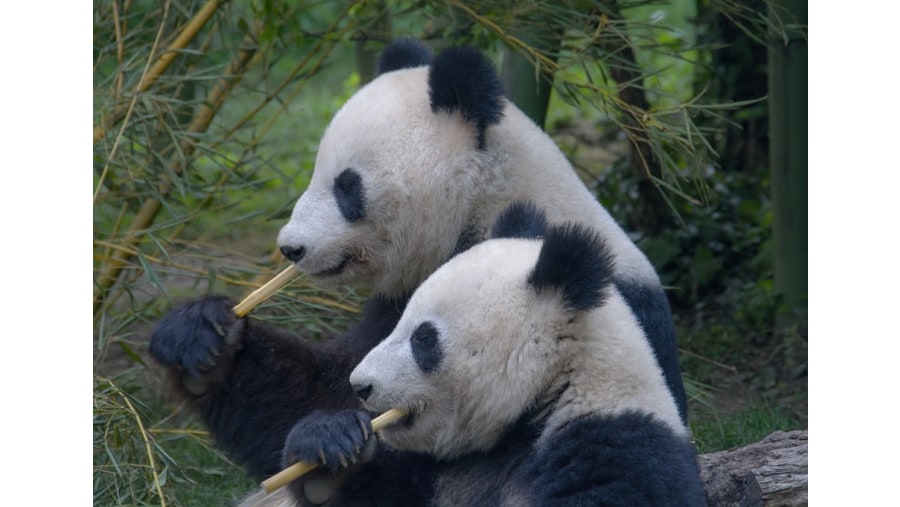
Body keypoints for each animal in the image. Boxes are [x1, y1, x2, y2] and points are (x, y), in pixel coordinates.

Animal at [146, 36, 684, 488]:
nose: (290, 248)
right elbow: (322, 391)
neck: (484, 205)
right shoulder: (395, 305)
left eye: (347, 185)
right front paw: (201, 338)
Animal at [264, 202, 708, 507]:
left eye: (423, 339)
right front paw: (327, 446)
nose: (361, 385)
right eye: (399, 322)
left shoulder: (616, 447)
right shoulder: (437, 471)